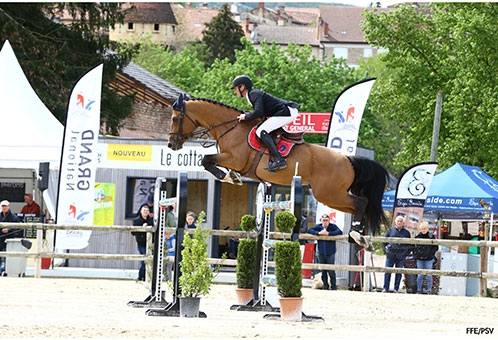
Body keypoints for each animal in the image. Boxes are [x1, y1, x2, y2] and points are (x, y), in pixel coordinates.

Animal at [169, 93, 392, 236]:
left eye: (175, 118)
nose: (172, 144)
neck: (231, 128)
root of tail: (347, 159)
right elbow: (210, 162)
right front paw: (232, 177)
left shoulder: (234, 158)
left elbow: (206, 160)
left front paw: (227, 176)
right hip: (329, 196)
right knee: (359, 205)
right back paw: (361, 236)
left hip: (329, 193)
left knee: (361, 203)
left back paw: (358, 236)